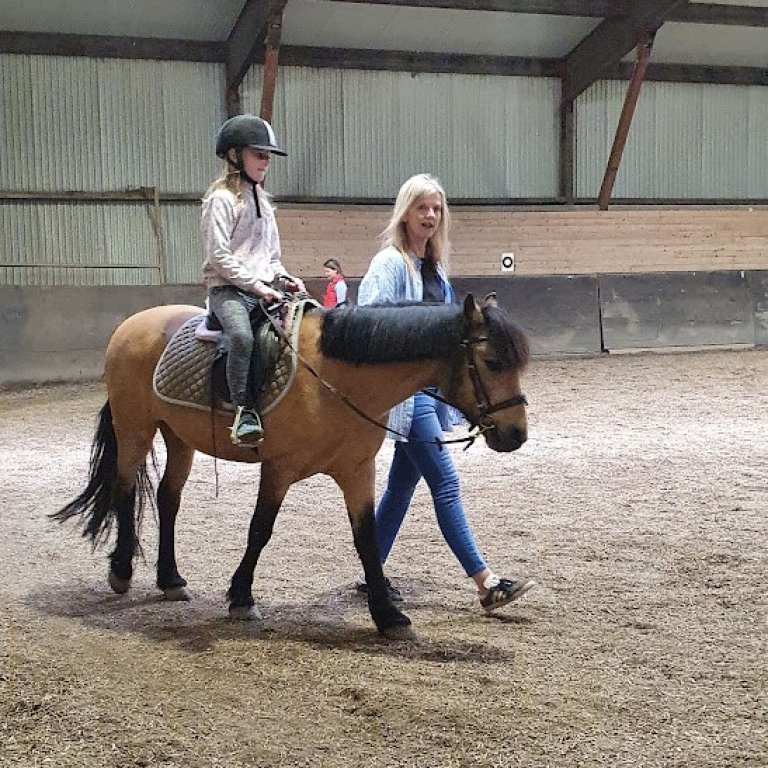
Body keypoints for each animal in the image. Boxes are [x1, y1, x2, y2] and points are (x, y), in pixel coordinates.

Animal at [52, 293, 530, 639]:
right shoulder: (278, 469)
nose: (516, 434)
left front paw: (388, 615)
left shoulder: (357, 471)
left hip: (178, 436)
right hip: (135, 428)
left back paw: (170, 579)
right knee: (124, 489)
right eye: (492, 362)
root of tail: (132, 325)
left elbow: (367, 539)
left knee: (169, 499)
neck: (335, 378)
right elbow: (259, 530)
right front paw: (241, 598)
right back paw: (121, 572)